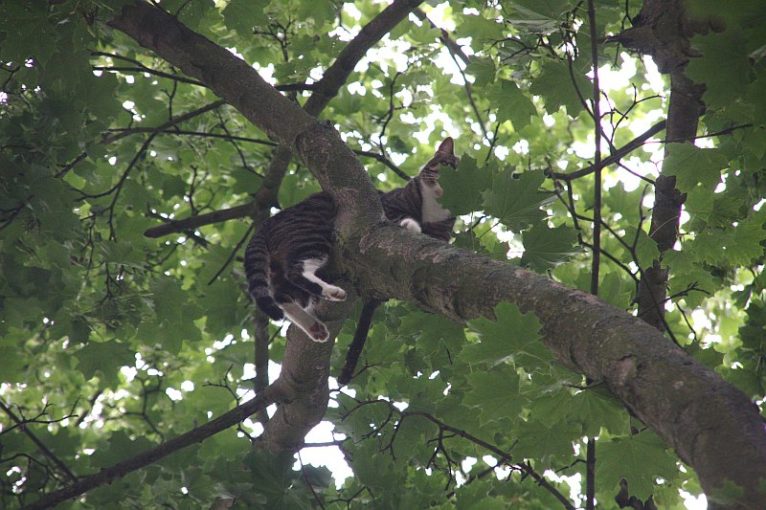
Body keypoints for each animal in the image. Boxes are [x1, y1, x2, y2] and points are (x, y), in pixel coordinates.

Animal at [244, 137, 456, 344]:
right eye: (446, 164)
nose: (451, 178)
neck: (433, 209)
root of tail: (269, 222)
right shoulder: (387, 206)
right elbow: (393, 218)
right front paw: (410, 224)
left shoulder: (441, 234)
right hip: (310, 235)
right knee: (296, 272)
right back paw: (332, 292)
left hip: (281, 265)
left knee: (282, 295)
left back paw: (313, 326)